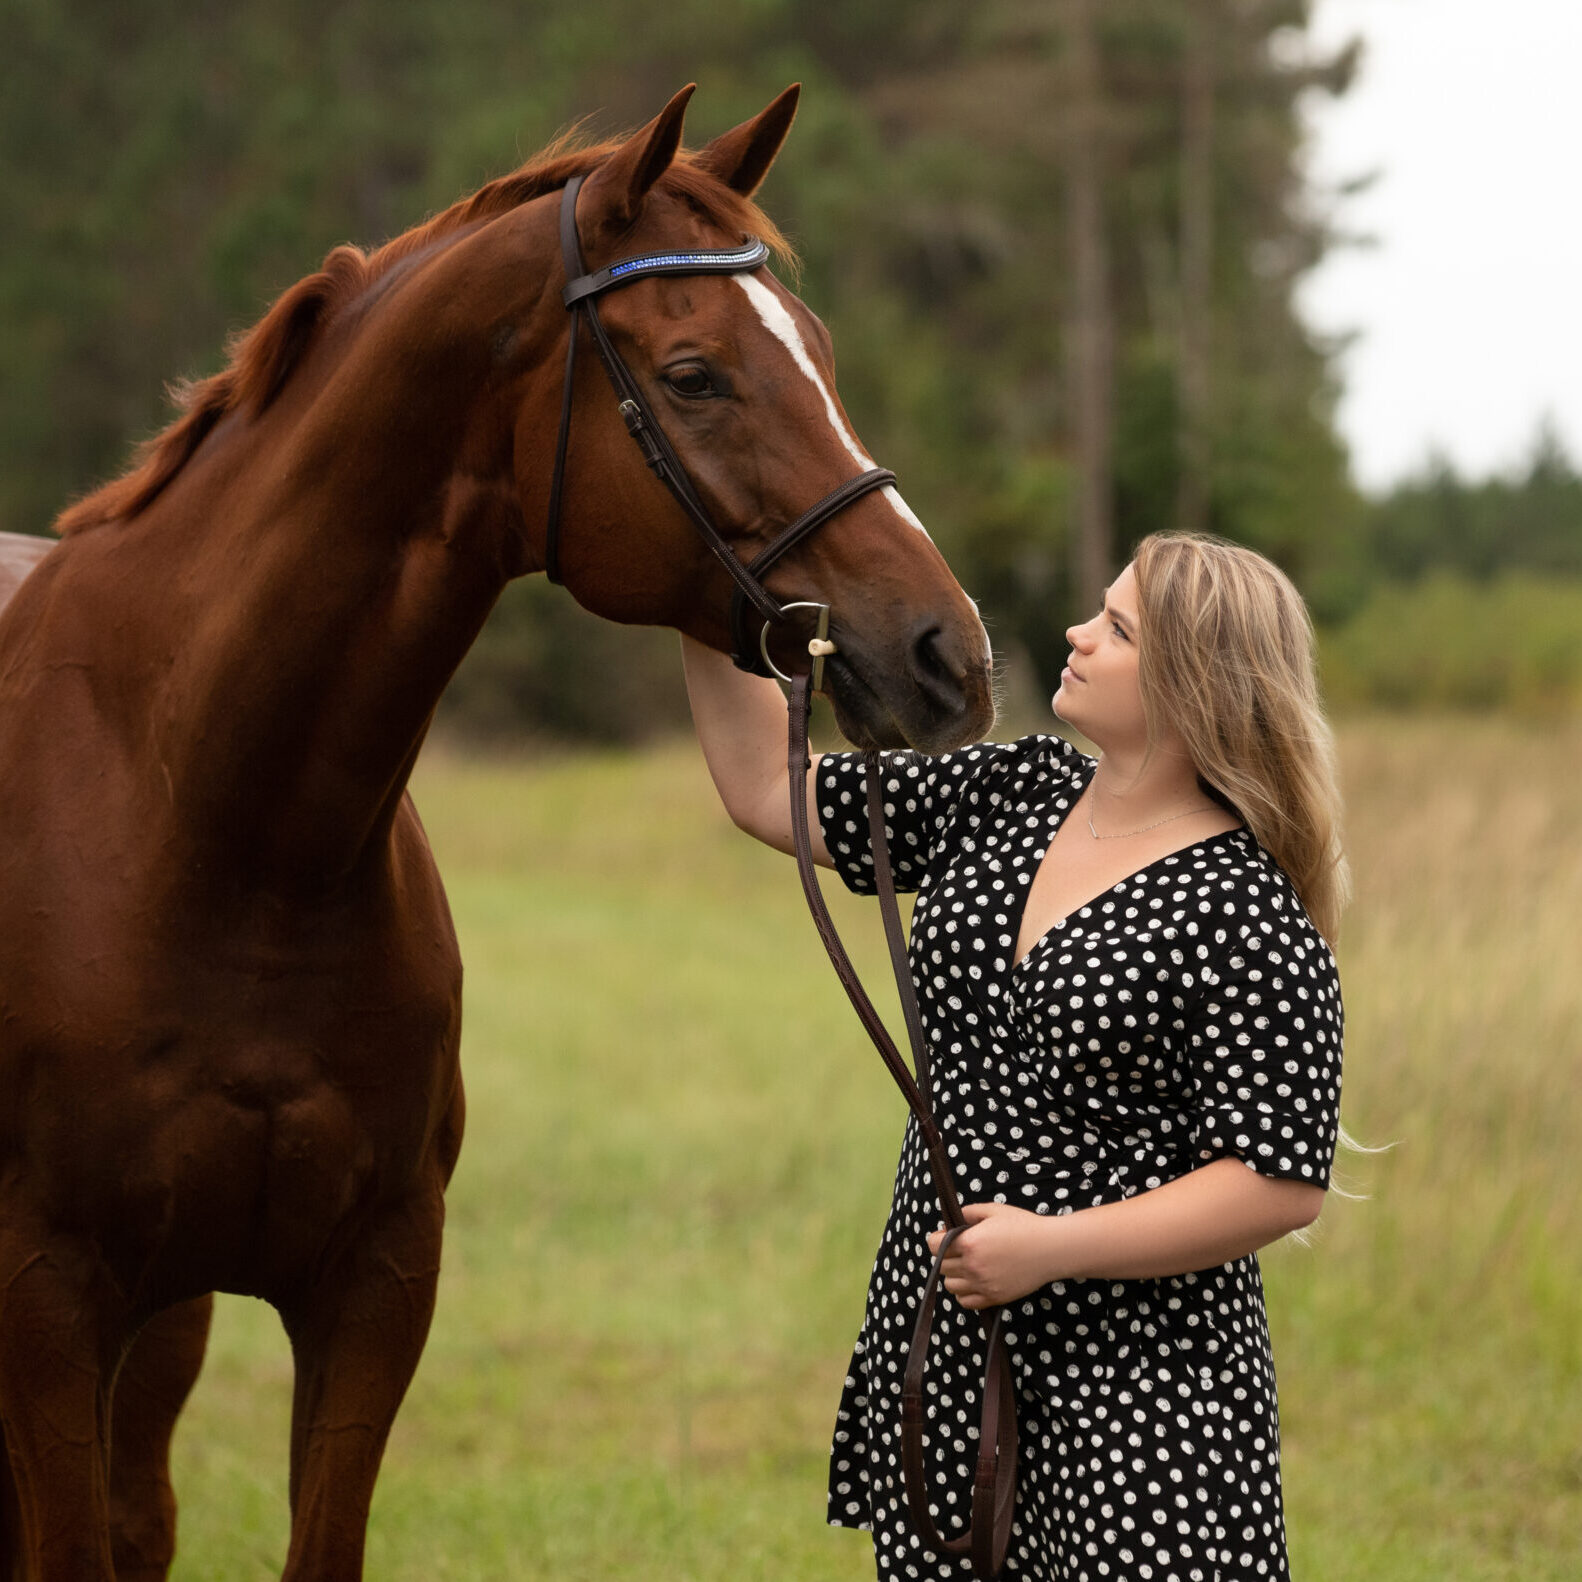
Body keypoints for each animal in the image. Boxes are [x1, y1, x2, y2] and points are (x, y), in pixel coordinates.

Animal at [0, 83, 994, 1579]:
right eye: (694, 374)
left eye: (816, 352)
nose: (946, 651)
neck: (210, 827)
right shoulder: (49, 1293)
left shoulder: (373, 1283)